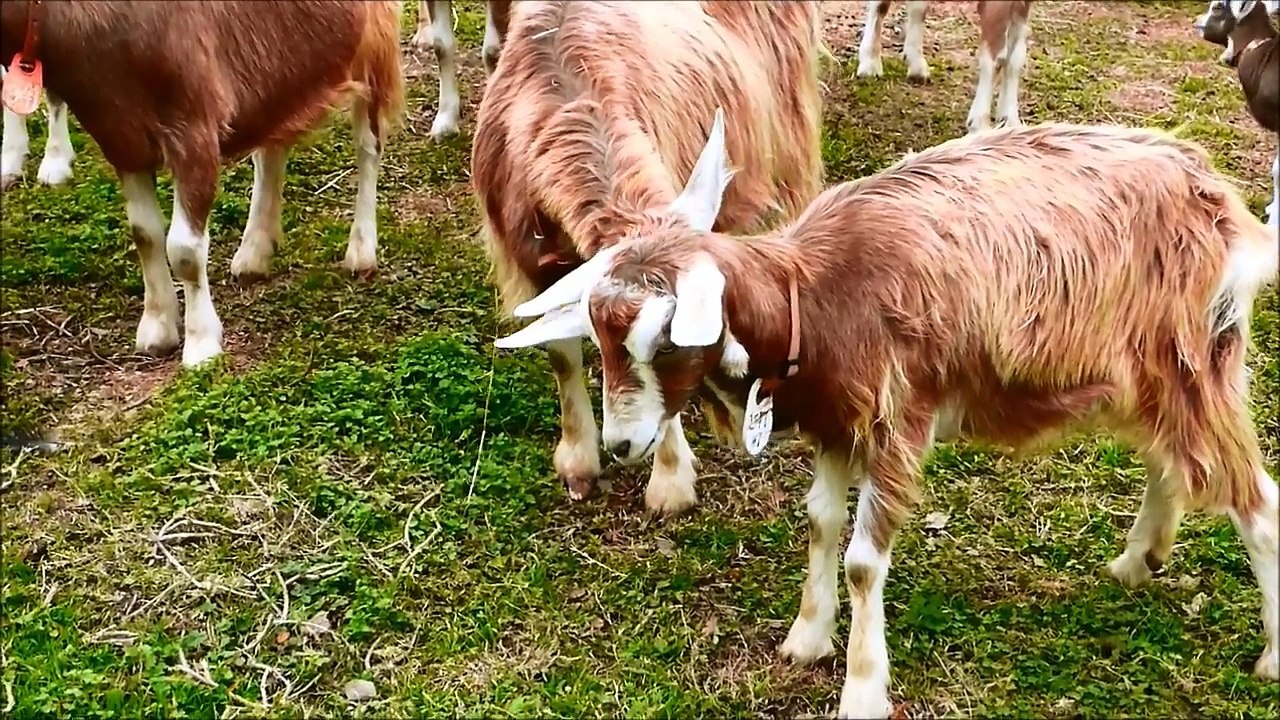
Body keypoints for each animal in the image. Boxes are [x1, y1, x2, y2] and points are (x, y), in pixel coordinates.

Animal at [0, 0, 405, 367]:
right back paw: (255, 251)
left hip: (373, 38)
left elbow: (184, 250)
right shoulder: (121, 138)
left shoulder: (193, 126)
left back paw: (361, 250)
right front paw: (158, 328)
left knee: (368, 144)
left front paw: (201, 346)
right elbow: (145, 234)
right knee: (272, 147)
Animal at [481, 1, 825, 516]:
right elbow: (561, 354)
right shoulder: (534, 264)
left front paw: (670, 480)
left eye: (669, 343)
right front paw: (578, 460)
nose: (621, 445)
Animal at [497, 117, 1280, 717]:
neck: (816, 297)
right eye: (599, 337)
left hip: (1196, 360)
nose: (623, 441)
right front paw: (807, 638)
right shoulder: (837, 424)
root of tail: (1218, 200)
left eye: (663, 340)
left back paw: (1270, 656)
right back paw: (1137, 559)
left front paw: (862, 691)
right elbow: (819, 522)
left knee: (1256, 501)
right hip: (1151, 373)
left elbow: (863, 563)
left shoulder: (897, 422)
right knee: (1170, 461)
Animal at [856, 0, 1033, 134]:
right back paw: (869, 63)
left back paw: (916, 66)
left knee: (918, 8)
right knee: (880, 6)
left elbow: (1015, 58)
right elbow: (996, 58)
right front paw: (980, 126)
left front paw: (1010, 122)